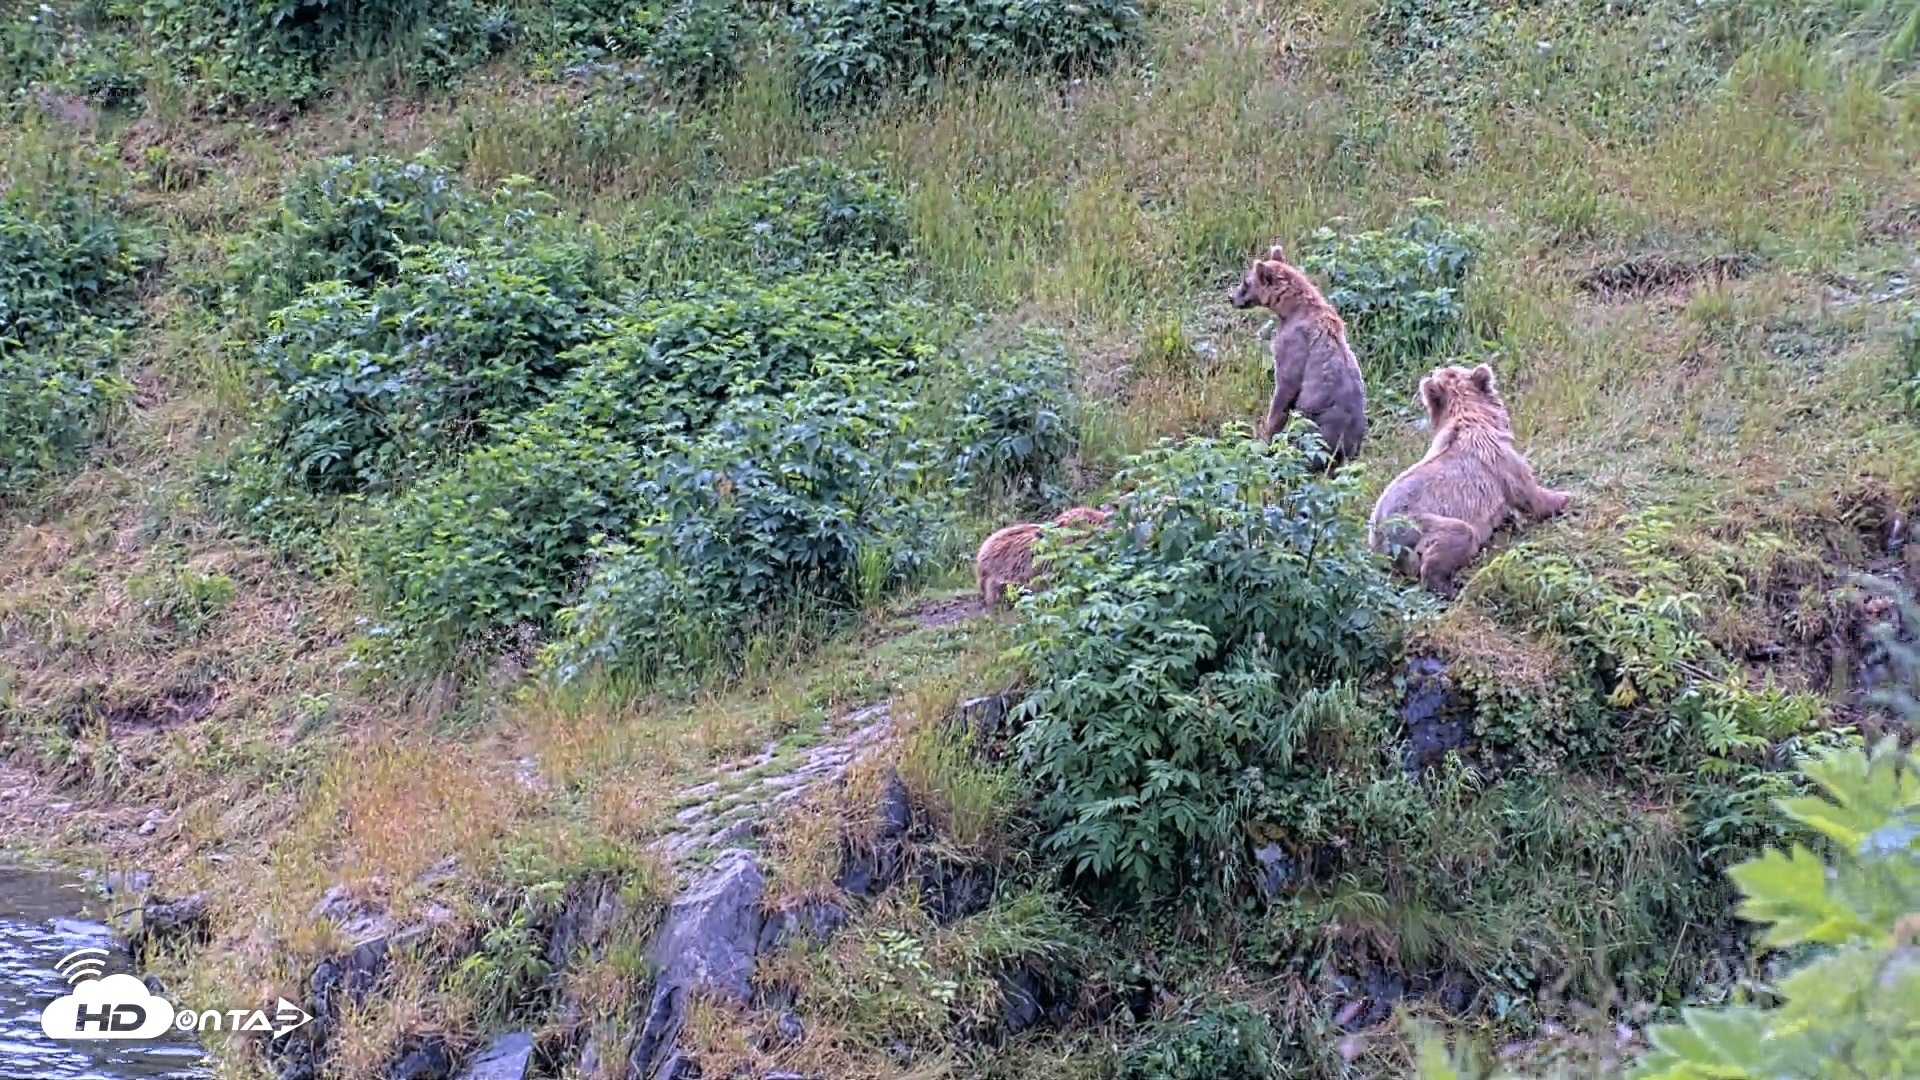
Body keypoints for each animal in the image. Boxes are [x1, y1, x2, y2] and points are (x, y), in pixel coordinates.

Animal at [1228, 244, 1368, 467]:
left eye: (1246, 282)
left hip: (1318, 425)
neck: (1292, 309)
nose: (1231, 297)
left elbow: (1285, 388)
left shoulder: (1294, 345)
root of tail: (1348, 449)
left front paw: (1267, 436)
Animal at [1367, 363, 1571, 596]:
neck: (1474, 418)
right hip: (1413, 523)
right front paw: (1563, 497)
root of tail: (1379, 540)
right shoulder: (1500, 461)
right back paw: (1448, 586)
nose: (1435, 369)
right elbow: (1529, 492)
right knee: (1458, 534)